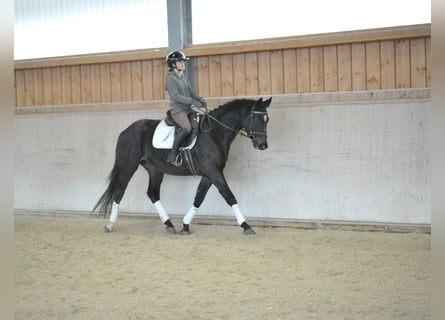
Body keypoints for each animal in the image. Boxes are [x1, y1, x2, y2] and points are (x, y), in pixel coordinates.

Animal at [92, 97, 270, 235]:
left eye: (266, 120)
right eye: (256, 118)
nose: (263, 145)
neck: (214, 133)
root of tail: (125, 131)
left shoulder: (209, 174)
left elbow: (198, 198)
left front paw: (185, 225)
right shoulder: (213, 172)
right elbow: (230, 196)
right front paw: (246, 226)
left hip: (155, 170)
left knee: (153, 194)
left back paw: (169, 225)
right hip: (128, 167)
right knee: (119, 193)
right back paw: (110, 225)